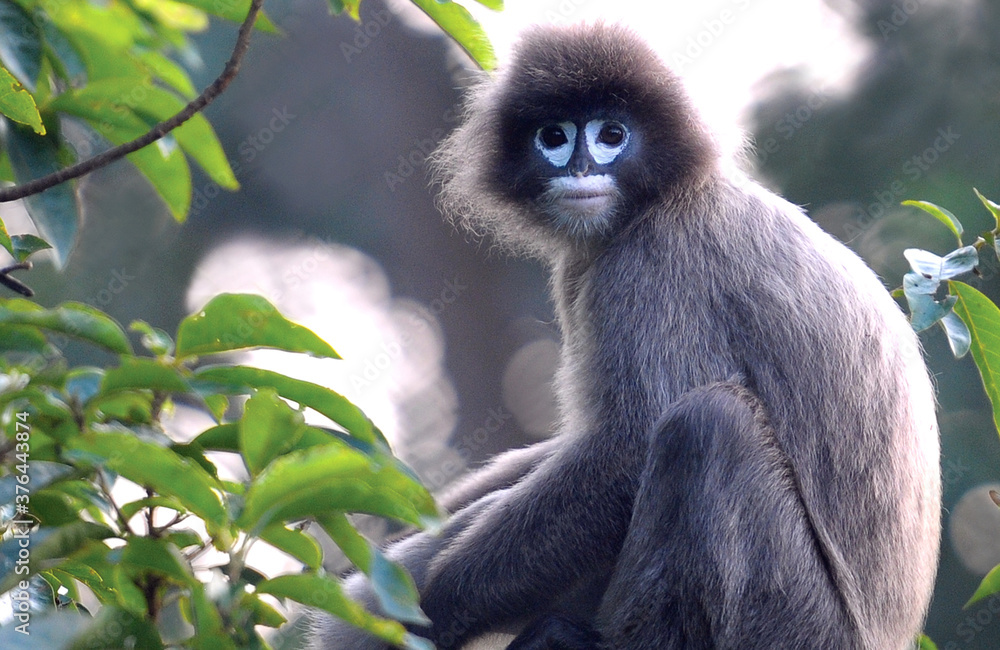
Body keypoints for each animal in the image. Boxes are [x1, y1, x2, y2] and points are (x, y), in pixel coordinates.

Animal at [311, 22, 940, 649]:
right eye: (554, 136)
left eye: (611, 135)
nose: (581, 170)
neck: (665, 197)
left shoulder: (651, 265)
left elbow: (626, 447)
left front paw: (428, 610)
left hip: (793, 623)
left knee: (705, 424)